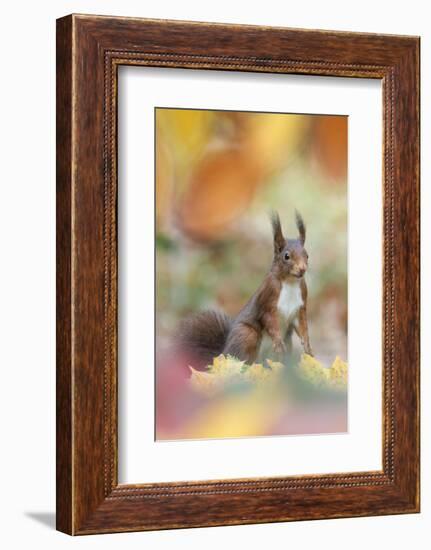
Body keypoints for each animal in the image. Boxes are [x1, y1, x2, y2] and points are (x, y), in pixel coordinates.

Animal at [177, 212, 312, 370]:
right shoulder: (268, 298)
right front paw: (278, 342)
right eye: (286, 256)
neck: (290, 282)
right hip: (247, 335)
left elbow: (302, 325)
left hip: (285, 344)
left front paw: (308, 346)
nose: (302, 269)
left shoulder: (300, 306)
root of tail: (222, 355)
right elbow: (269, 320)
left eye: (307, 255)